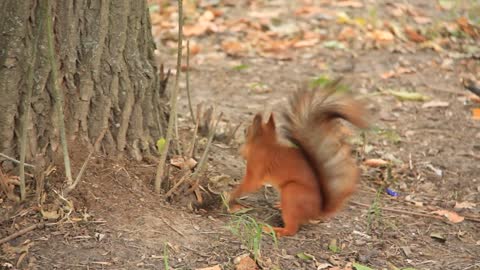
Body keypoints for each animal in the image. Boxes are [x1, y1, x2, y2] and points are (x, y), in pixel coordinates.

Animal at [228, 79, 368, 236]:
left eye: (247, 130)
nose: (244, 129)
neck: (267, 144)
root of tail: (316, 212)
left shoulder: (256, 166)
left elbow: (249, 185)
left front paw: (231, 195)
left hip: (292, 193)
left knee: (292, 229)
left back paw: (274, 230)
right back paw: (279, 207)